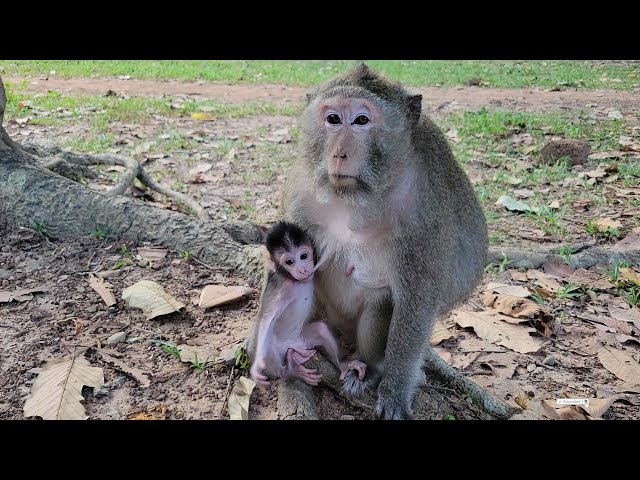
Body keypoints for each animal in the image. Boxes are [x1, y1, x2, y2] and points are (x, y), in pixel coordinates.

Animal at [250, 221, 364, 386]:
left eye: (303, 256)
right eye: (289, 262)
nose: (302, 269)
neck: (295, 282)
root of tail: (294, 346)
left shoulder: (314, 270)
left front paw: (351, 267)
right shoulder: (281, 291)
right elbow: (266, 320)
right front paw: (257, 366)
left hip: (304, 339)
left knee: (321, 329)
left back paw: (343, 365)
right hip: (278, 348)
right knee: (271, 351)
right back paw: (291, 372)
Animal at [282, 62, 488, 418]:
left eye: (362, 120)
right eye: (333, 118)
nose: (340, 153)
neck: (358, 196)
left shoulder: (424, 210)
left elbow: (417, 299)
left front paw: (394, 393)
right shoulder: (302, 191)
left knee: (382, 300)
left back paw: (368, 369)